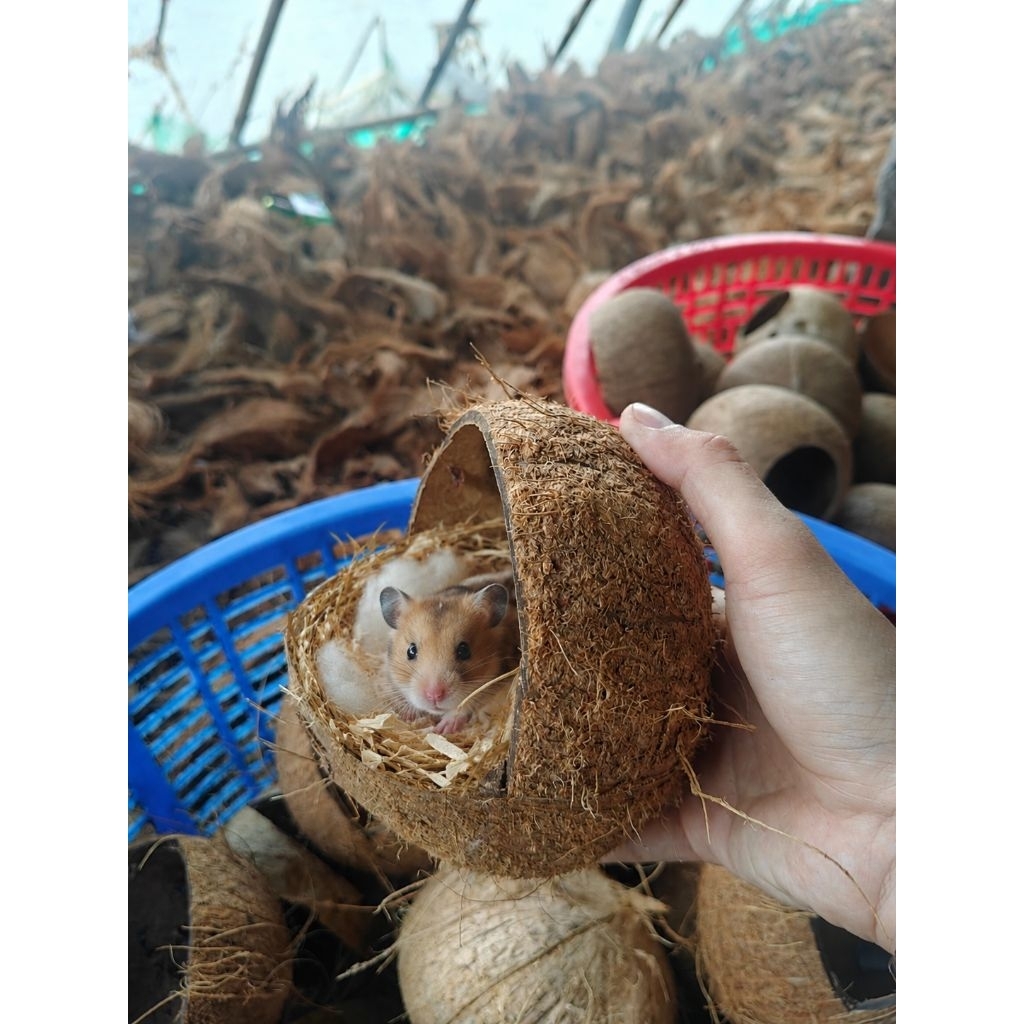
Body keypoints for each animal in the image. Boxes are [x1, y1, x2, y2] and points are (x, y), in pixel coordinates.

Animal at [379, 581, 519, 736]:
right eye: (411, 651)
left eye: (464, 650)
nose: (434, 696)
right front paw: (407, 716)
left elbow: (464, 706)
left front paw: (442, 729)